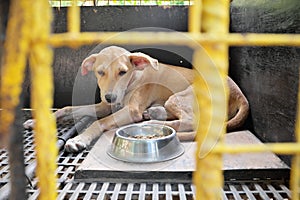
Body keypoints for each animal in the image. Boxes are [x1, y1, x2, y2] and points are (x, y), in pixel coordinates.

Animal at [22, 46, 248, 152]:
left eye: (122, 72)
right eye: (100, 72)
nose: (110, 96)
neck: (132, 80)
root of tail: (240, 93)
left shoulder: (130, 110)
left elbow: (98, 123)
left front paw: (79, 139)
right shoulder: (105, 106)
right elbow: (67, 108)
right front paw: (36, 121)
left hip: (178, 97)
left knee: (192, 121)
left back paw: (153, 121)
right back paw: (154, 113)